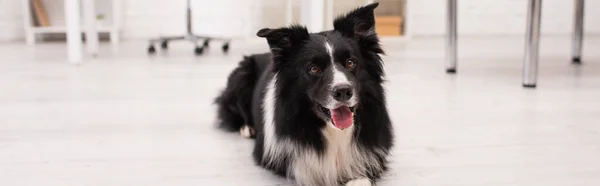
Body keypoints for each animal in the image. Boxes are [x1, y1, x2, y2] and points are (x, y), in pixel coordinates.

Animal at [216, 2, 394, 185]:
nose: (343, 91)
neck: (334, 131)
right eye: (313, 68)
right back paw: (247, 128)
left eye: (351, 62)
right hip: (241, 77)